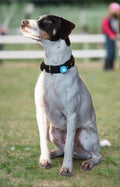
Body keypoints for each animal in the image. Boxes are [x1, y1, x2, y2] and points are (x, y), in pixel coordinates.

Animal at [20, 15, 102, 177]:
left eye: (48, 21)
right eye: (37, 18)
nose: (23, 22)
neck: (54, 70)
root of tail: (80, 154)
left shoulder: (71, 115)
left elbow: (69, 144)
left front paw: (66, 168)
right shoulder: (40, 111)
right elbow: (42, 140)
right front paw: (44, 159)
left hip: (84, 133)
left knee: (95, 155)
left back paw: (89, 163)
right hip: (53, 130)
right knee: (61, 149)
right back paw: (51, 153)